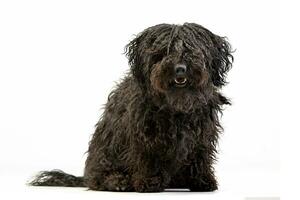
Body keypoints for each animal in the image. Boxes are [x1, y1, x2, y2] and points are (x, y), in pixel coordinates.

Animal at [29, 22, 232, 192]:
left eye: (192, 50)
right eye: (163, 51)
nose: (180, 68)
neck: (175, 106)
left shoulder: (201, 136)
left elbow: (199, 156)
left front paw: (201, 181)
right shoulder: (145, 136)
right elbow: (147, 157)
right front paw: (148, 182)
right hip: (104, 154)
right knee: (99, 179)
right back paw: (118, 181)